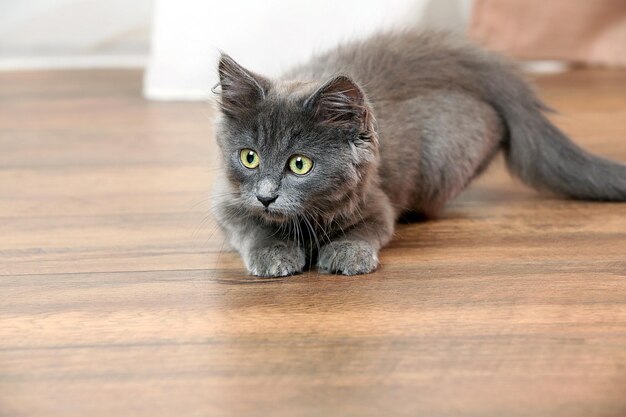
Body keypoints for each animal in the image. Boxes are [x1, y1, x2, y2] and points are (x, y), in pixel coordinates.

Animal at [211, 29, 624, 276]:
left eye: (300, 164)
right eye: (249, 157)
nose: (266, 196)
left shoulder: (376, 202)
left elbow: (370, 228)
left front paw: (346, 253)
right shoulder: (227, 201)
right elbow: (250, 226)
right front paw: (274, 253)